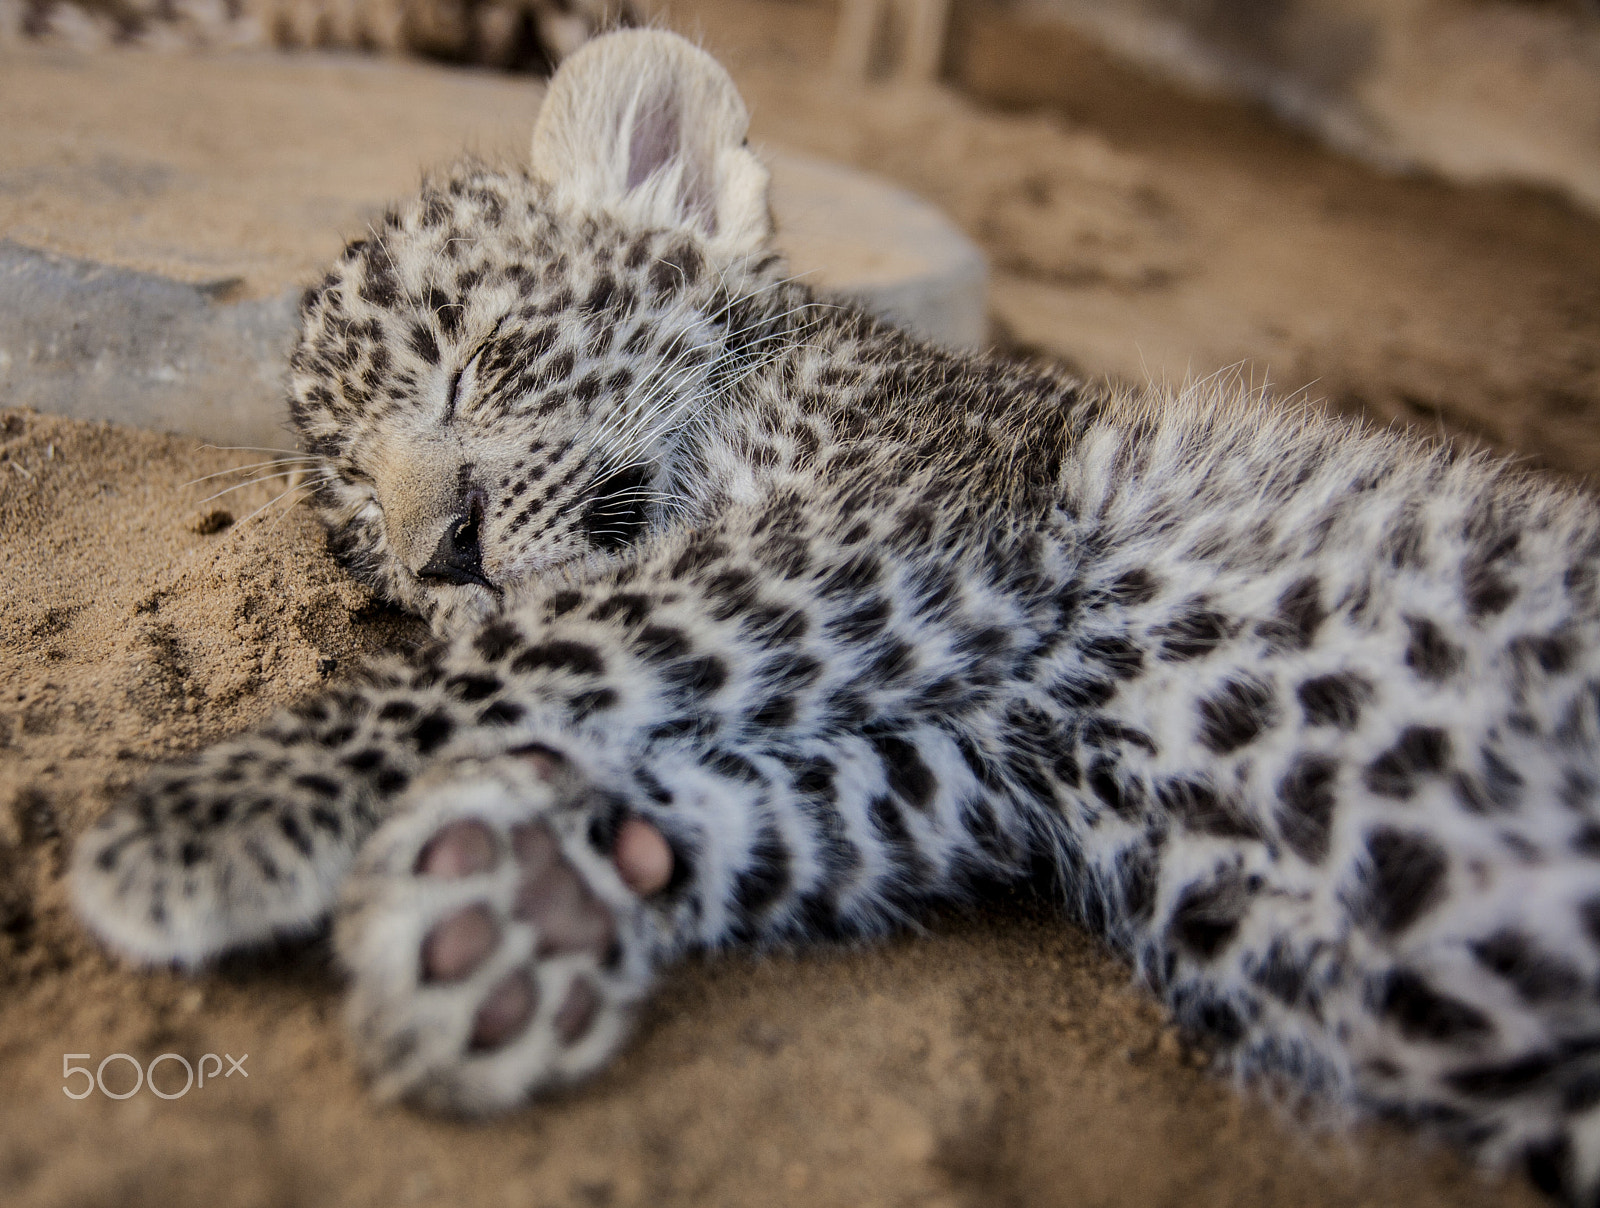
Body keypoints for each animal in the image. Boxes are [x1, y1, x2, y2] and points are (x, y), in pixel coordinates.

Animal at [68, 28, 1600, 1204]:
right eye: (353, 516)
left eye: (476, 355)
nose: (441, 553)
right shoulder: (978, 763)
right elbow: (782, 808)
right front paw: (526, 905)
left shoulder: (906, 527)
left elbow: (558, 644)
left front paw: (207, 819)